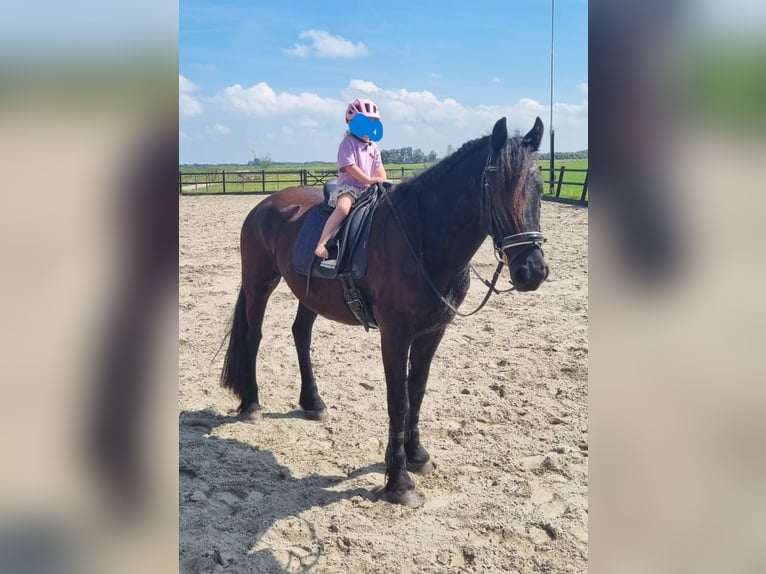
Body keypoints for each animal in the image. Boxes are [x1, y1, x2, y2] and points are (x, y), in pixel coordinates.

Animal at [221, 116, 549, 506]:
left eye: (539, 185)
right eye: (494, 185)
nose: (532, 270)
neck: (422, 240)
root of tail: (265, 205)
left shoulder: (433, 332)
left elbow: (417, 391)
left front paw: (417, 455)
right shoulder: (395, 334)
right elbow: (399, 400)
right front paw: (399, 480)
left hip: (309, 293)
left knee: (301, 334)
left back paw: (313, 402)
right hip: (259, 284)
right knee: (254, 337)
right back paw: (252, 405)